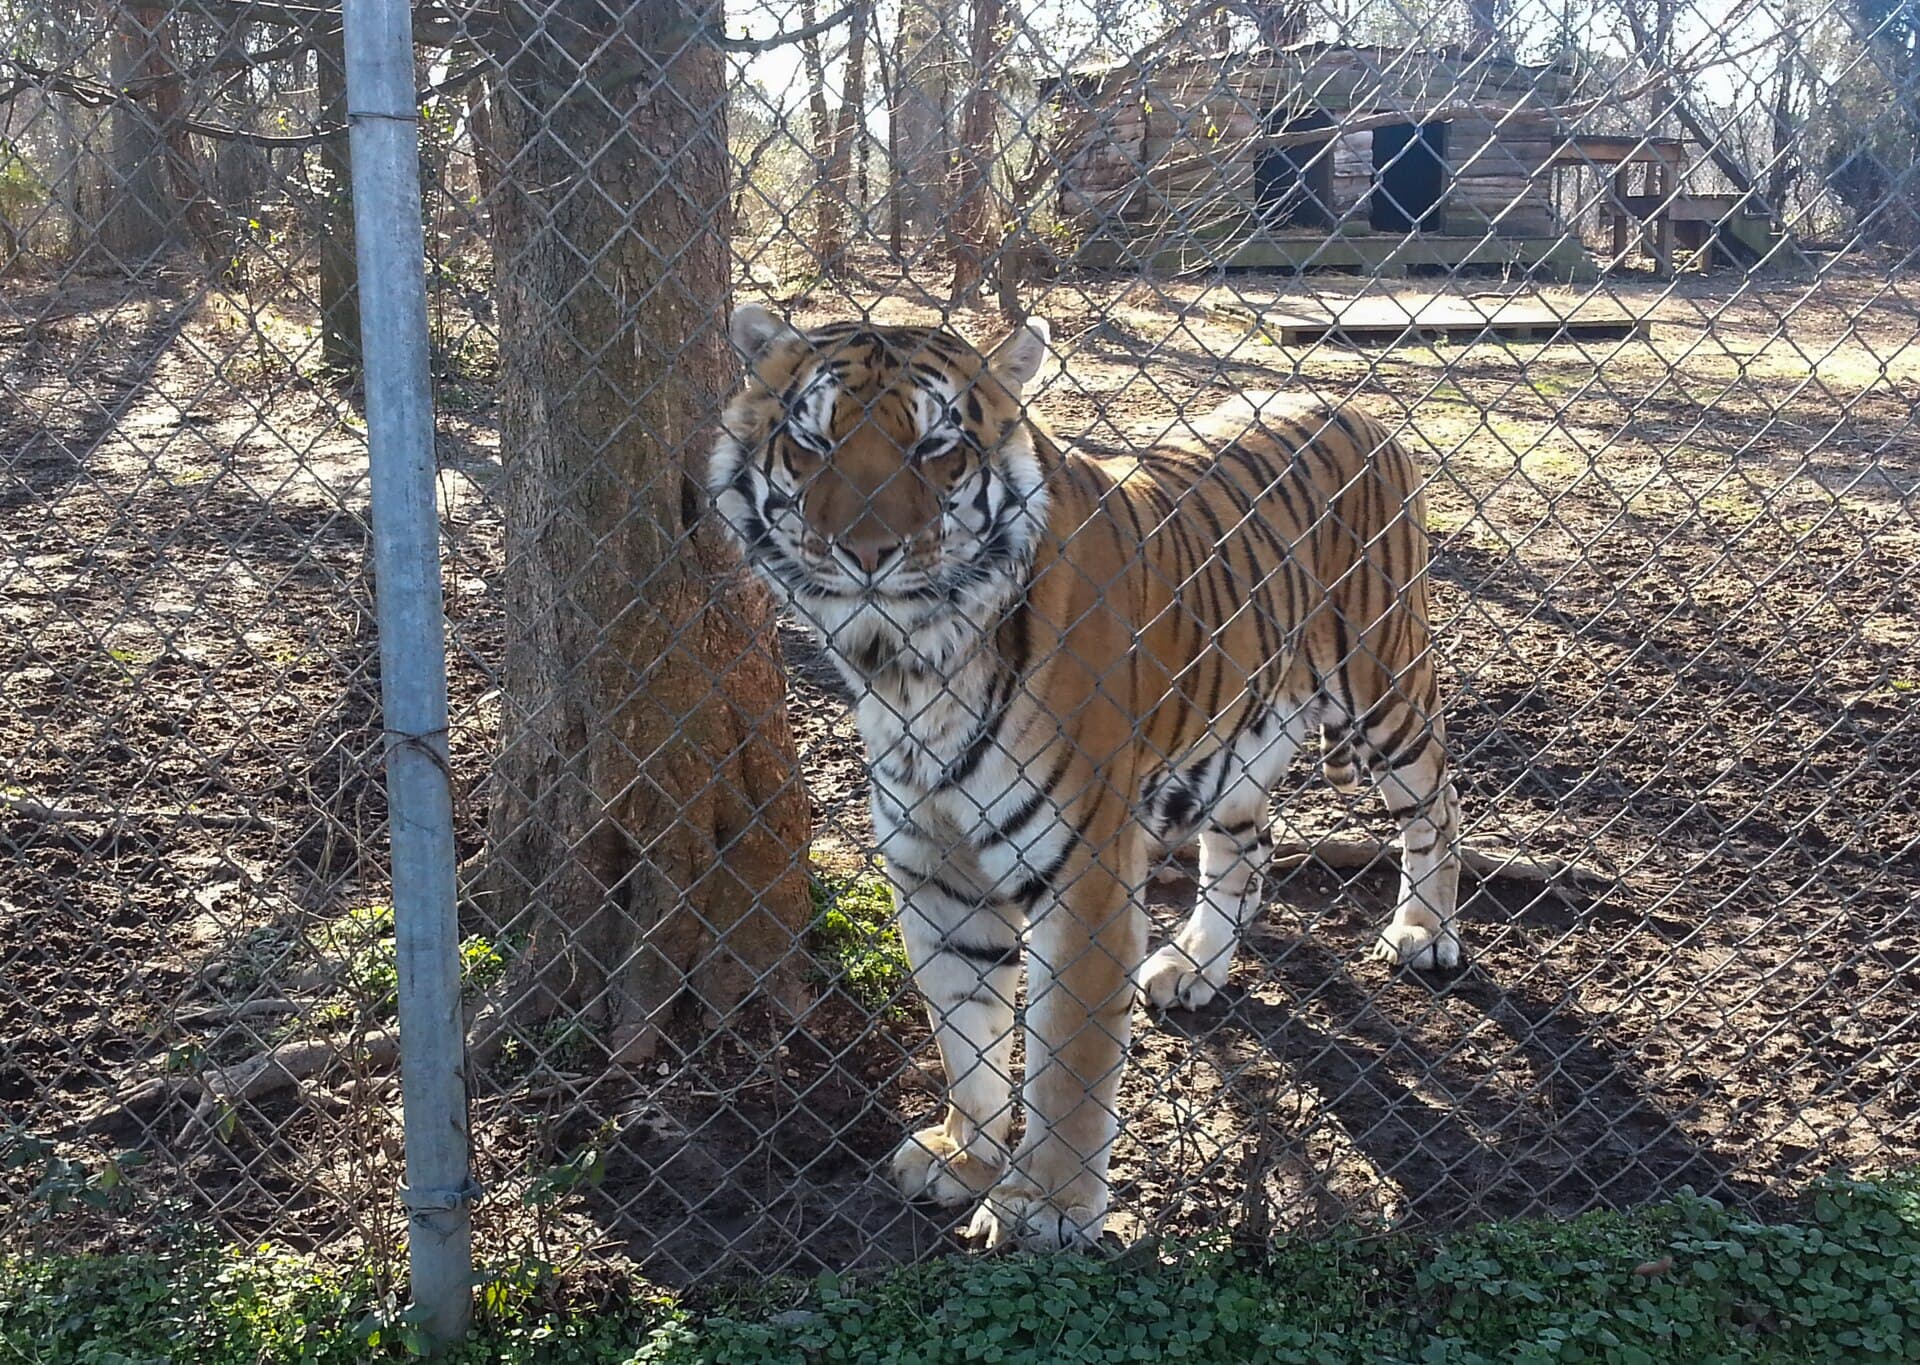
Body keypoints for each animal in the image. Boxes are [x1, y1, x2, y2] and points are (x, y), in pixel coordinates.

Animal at [708, 304, 1463, 1252]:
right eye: (811, 443)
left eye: (937, 447)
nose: (866, 552)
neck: (911, 666)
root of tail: (1360, 408)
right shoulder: (937, 870)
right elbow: (965, 1032)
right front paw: (964, 1154)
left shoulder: (1087, 875)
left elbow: (1067, 1058)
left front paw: (1047, 1206)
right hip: (1241, 729)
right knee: (1249, 845)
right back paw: (1194, 967)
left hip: (1382, 688)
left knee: (1439, 802)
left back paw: (1425, 933)